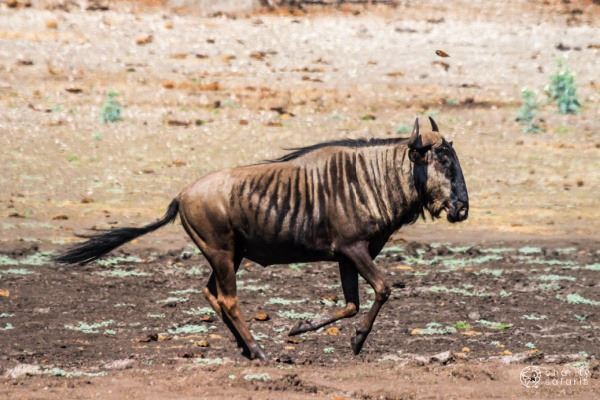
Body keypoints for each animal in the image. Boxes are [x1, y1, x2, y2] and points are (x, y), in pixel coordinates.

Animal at [56, 117, 469, 360]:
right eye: (442, 160)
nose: (462, 209)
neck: (376, 178)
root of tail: (181, 196)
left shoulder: (347, 256)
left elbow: (351, 303)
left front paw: (301, 327)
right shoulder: (353, 249)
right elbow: (382, 288)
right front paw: (355, 340)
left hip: (231, 255)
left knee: (211, 293)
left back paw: (246, 347)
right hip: (223, 253)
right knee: (227, 298)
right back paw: (257, 349)